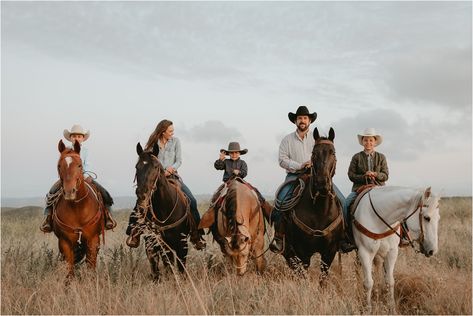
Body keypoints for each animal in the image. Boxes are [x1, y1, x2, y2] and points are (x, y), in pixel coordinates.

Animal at [51, 139, 103, 278]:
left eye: (80, 165)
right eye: (59, 166)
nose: (70, 192)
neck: (77, 208)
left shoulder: (92, 240)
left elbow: (91, 267)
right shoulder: (64, 242)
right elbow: (69, 271)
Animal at [133, 143, 194, 282]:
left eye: (155, 167)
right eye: (137, 166)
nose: (142, 194)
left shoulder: (182, 243)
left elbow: (181, 267)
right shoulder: (161, 244)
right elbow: (168, 266)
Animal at [276, 127, 342, 286]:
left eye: (333, 152)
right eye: (313, 153)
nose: (322, 183)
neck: (320, 211)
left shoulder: (329, 252)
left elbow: (323, 280)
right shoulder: (302, 252)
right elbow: (303, 276)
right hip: (288, 250)